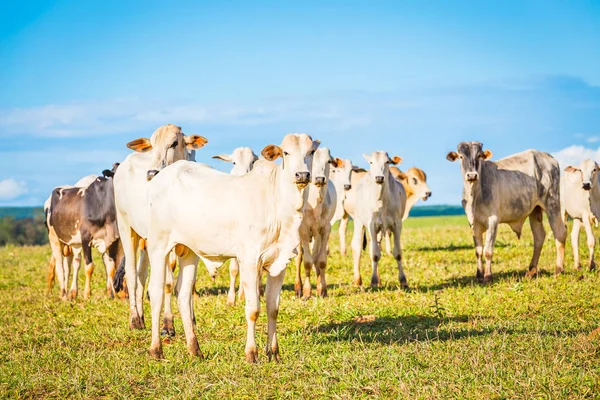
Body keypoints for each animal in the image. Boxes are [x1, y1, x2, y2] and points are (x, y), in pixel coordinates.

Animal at [46, 166, 124, 300]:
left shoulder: (110, 240)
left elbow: (111, 267)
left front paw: (112, 295)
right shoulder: (86, 238)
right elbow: (89, 267)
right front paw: (87, 294)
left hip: (71, 243)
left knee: (70, 265)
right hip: (54, 237)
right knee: (60, 267)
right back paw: (63, 295)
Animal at [113, 122, 207, 334]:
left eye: (174, 143)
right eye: (152, 145)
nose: (151, 173)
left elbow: (187, 283)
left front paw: (192, 319)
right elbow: (168, 283)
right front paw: (167, 324)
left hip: (146, 239)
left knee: (141, 275)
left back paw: (141, 316)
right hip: (126, 226)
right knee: (132, 273)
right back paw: (134, 319)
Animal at [145, 134, 318, 362]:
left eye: (311, 152)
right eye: (286, 152)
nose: (302, 174)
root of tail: (160, 176)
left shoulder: (279, 263)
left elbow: (273, 308)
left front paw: (274, 353)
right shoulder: (250, 260)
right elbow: (253, 309)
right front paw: (251, 354)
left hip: (188, 251)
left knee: (183, 295)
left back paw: (194, 349)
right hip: (158, 246)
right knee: (156, 292)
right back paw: (156, 349)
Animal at [346, 152, 408, 288]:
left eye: (387, 162)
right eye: (371, 162)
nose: (379, 178)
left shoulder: (397, 224)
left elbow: (397, 253)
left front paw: (403, 281)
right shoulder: (371, 225)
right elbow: (374, 255)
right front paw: (373, 282)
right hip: (359, 221)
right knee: (357, 246)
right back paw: (358, 280)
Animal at [446, 142, 568, 282]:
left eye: (479, 156)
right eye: (461, 156)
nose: (472, 175)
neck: (475, 196)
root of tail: (549, 158)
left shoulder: (493, 220)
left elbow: (488, 251)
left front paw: (488, 276)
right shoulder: (473, 222)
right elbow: (478, 251)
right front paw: (479, 274)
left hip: (552, 203)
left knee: (560, 233)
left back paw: (558, 270)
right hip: (534, 210)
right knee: (539, 236)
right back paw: (531, 270)